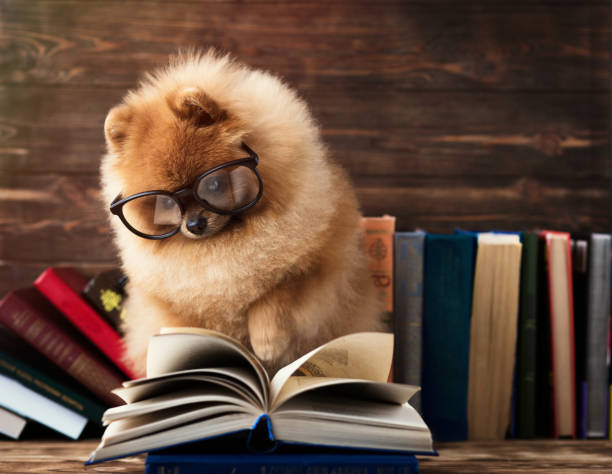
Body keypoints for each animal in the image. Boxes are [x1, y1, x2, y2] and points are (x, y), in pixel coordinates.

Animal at [100, 50, 382, 376]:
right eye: (165, 205)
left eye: (214, 184)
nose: (194, 224)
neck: (226, 246)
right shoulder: (174, 307)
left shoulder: (321, 261)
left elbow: (277, 292)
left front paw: (268, 342)